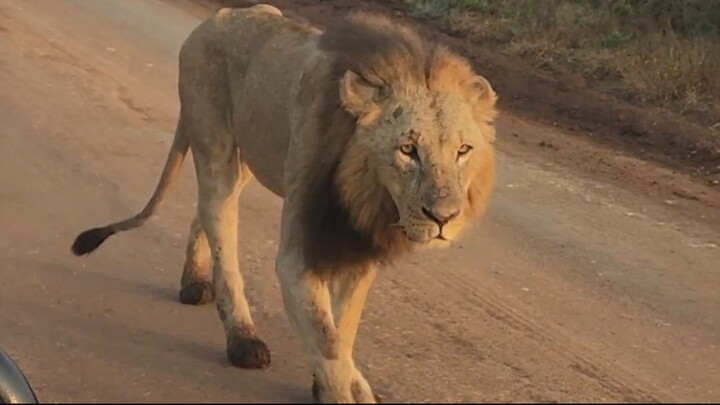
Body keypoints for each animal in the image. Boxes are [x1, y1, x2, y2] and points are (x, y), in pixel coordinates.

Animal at [70, 4, 498, 403]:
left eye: (463, 151)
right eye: (408, 150)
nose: (444, 218)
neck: (367, 194)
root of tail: (217, 17)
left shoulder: (359, 246)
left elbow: (344, 330)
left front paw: (346, 384)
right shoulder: (300, 251)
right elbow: (327, 339)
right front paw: (337, 388)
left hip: (250, 158)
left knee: (204, 212)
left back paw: (194, 280)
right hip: (217, 149)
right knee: (221, 229)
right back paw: (242, 339)